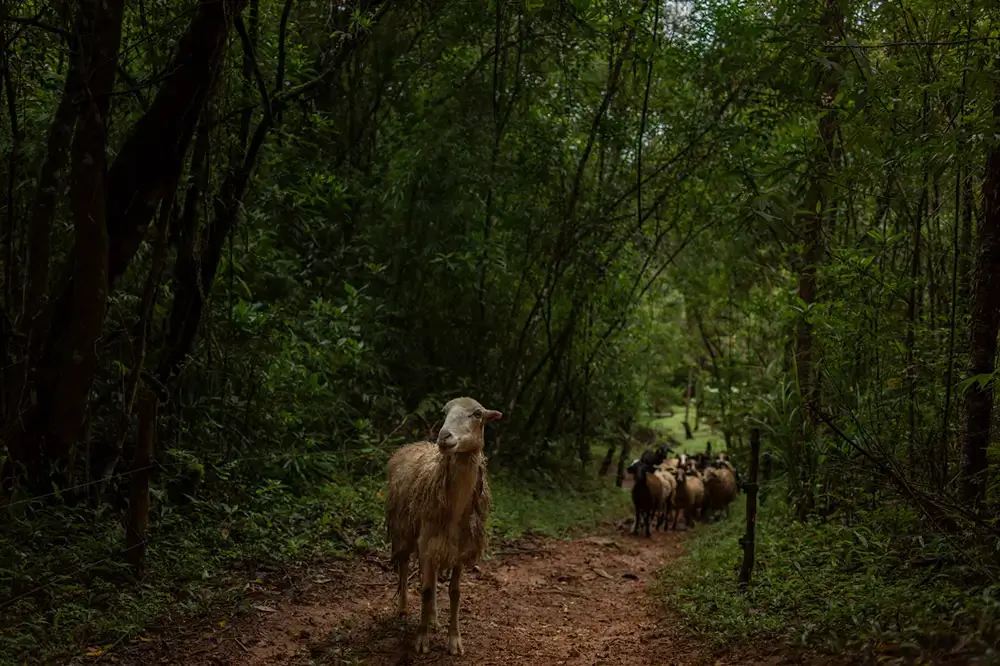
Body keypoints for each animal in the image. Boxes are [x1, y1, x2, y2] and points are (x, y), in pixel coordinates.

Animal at [386, 394, 504, 652]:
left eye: (477, 414)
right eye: (445, 412)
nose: (444, 436)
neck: (456, 508)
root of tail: (413, 444)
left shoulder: (460, 548)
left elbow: (454, 592)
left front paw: (454, 639)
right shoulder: (426, 541)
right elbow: (426, 589)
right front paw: (422, 639)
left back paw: (434, 619)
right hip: (404, 531)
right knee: (405, 568)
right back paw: (403, 609)